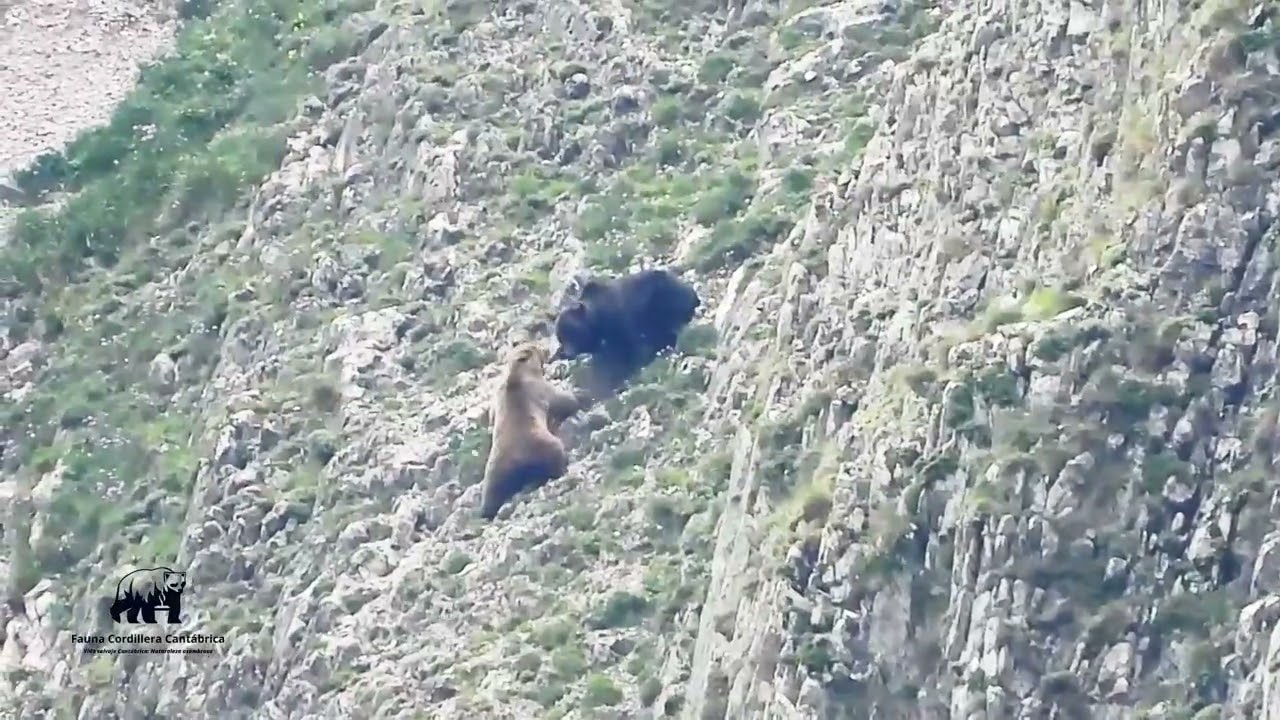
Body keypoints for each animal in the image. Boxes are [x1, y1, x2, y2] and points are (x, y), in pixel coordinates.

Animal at [480, 342, 583, 519]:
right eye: (534, 346)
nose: (547, 348)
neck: (516, 371)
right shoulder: (540, 386)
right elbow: (561, 399)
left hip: (494, 472)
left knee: (492, 492)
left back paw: (486, 511)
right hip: (546, 444)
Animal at [551, 267, 701, 378]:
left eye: (571, 332)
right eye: (561, 338)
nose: (567, 353)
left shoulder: (624, 320)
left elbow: (635, 346)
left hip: (663, 295)